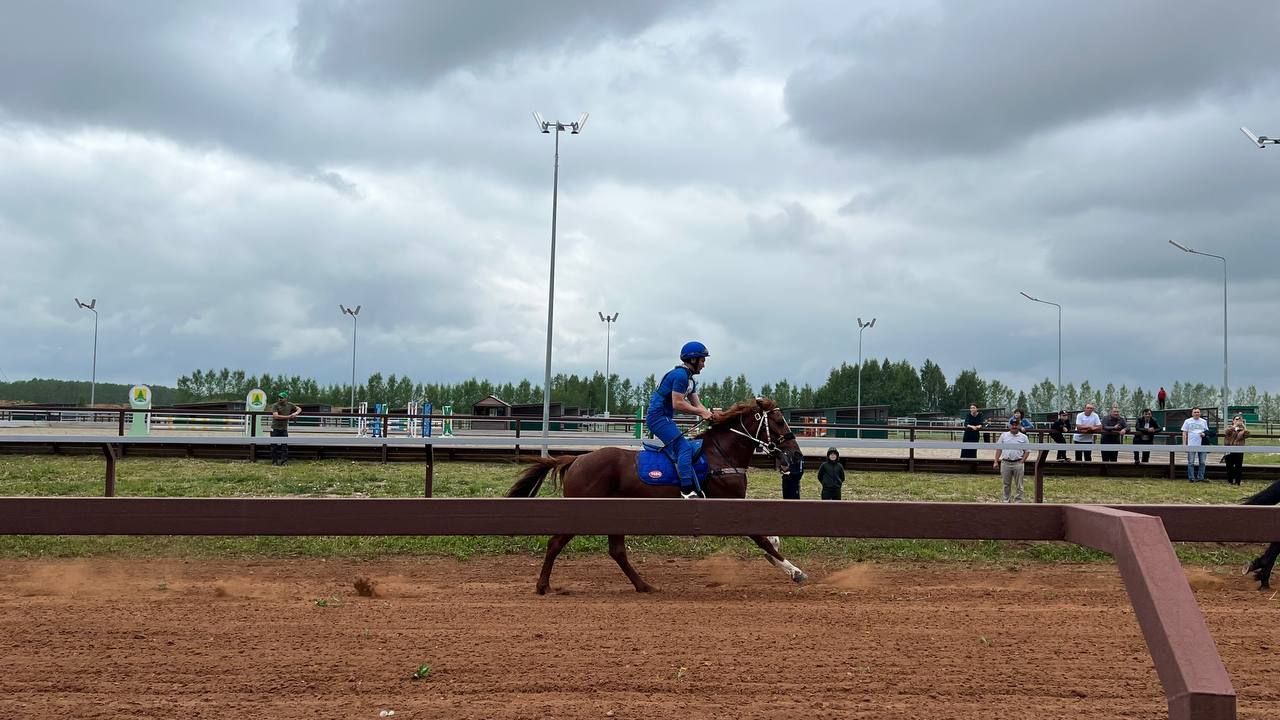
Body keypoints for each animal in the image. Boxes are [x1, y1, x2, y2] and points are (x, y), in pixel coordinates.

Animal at [504, 394, 803, 591]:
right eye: (779, 421)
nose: (796, 453)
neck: (720, 456)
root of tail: (576, 459)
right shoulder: (730, 504)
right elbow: (761, 538)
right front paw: (795, 571)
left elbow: (767, 538)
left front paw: (779, 557)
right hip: (582, 511)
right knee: (555, 543)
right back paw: (542, 585)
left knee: (617, 552)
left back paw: (643, 585)